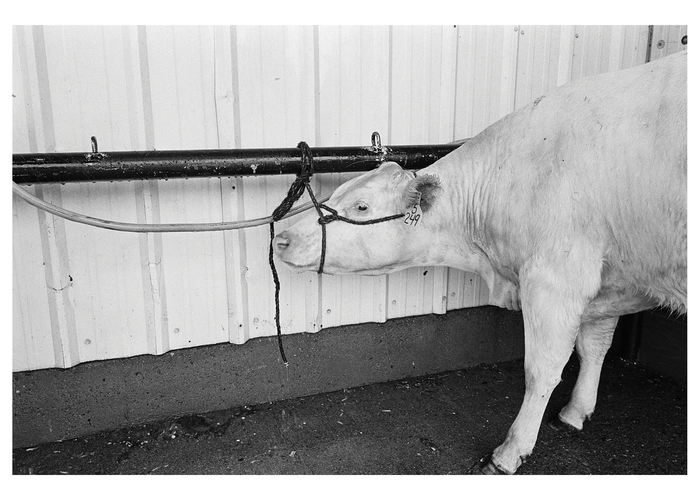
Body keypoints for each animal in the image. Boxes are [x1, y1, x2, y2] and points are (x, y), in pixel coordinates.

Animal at [273, 51, 687, 474]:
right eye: (337, 191)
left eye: (361, 206)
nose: (282, 237)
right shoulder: (614, 278)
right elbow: (595, 346)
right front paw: (576, 411)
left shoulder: (555, 279)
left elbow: (542, 370)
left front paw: (510, 452)